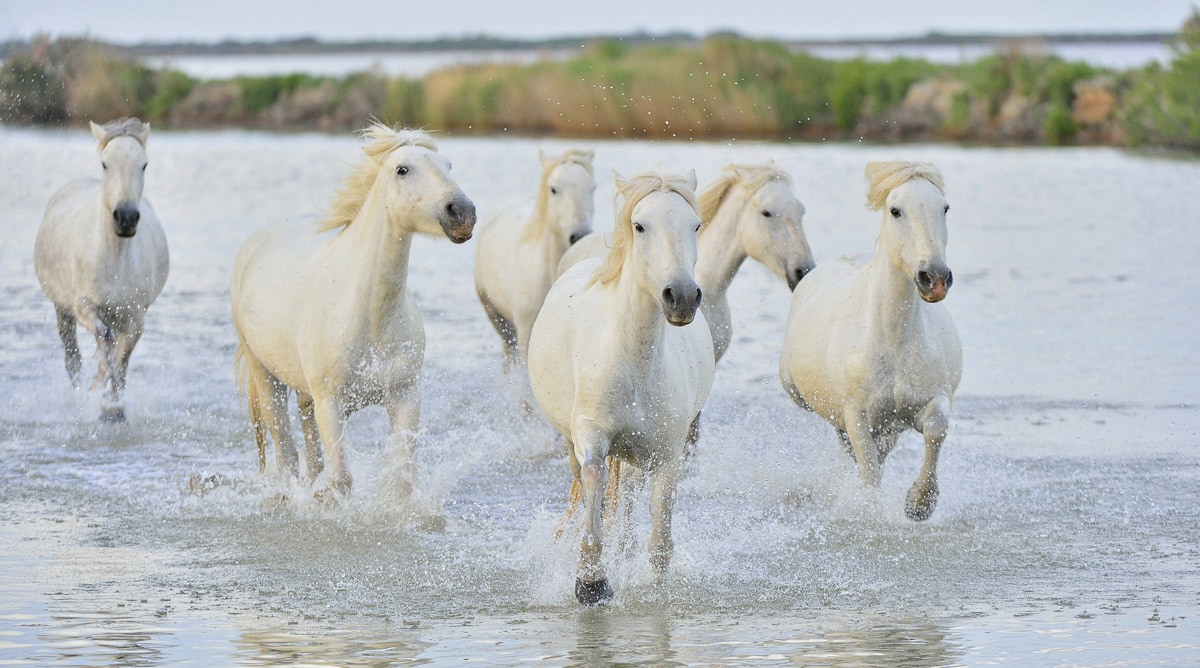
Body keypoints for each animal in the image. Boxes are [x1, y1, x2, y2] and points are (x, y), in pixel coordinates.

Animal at [33, 118, 169, 422]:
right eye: (105, 164)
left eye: (144, 164)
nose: (126, 218)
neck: (114, 260)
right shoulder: (84, 306)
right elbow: (104, 341)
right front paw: (98, 393)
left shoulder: (134, 317)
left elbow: (122, 357)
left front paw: (113, 406)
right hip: (62, 309)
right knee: (73, 357)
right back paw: (77, 396)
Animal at [229, 124, 477, 494]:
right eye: (402, 169)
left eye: (448, 165)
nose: (462, 214)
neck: (370, 317)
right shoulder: (330, 405)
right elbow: (342, 479)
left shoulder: (405, 397)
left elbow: (402, 478)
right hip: (265, 376)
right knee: (286, 455)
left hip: (303, 391)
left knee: (310, 452)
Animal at [528, 167, 710, 604]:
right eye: (640, 225)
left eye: (695, 225)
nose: (681, 296)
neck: (635, 361)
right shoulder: (591, 435)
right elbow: (594, 483)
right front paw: (591, 583)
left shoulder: (668, 454)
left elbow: (659, 541)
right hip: (576, 444)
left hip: (637, 455)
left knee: (627, 499)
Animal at [777, 161, 964, 520]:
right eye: (896, 210)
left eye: (945, 208)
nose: (934, 279)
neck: (893, 342)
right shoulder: (857, 417)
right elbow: (869, 472)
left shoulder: (934, 398)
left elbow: (936, 428)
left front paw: (919, 503)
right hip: (797, 392)